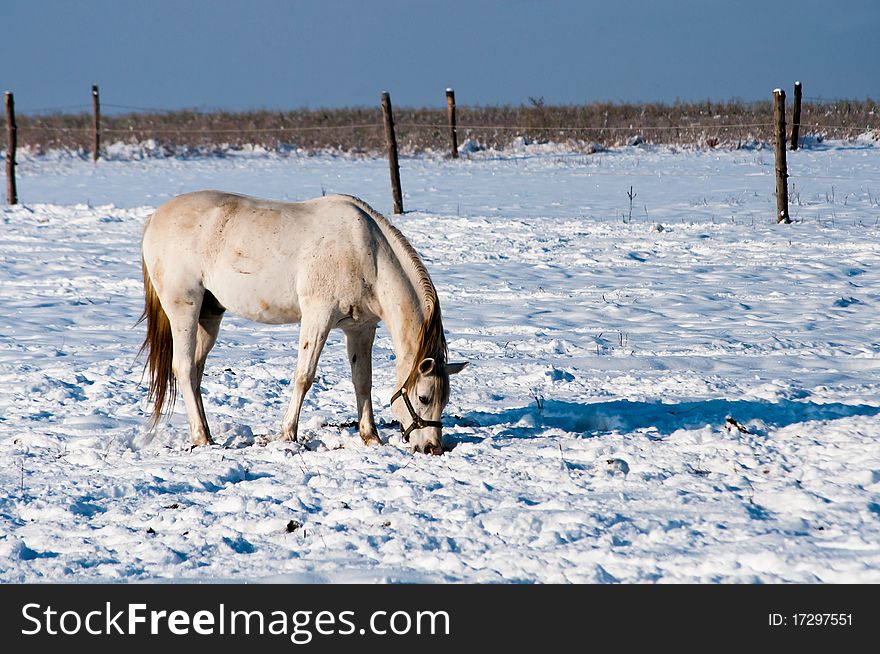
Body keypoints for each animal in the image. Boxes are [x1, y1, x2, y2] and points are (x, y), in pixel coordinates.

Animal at [139, 192, 468, 454]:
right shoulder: (317, 317)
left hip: (210, 314)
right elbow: (304, 376)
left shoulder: (360, 329)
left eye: (445, 400)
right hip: (184, 309)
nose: (433, 448)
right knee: (183, 368)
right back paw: (201, 437)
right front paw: (288, 434)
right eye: (424, 397)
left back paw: (205, 432)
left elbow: (363, 381)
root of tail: (155, 218)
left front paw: (371, 437)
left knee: (195, 371)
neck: (366, 252)